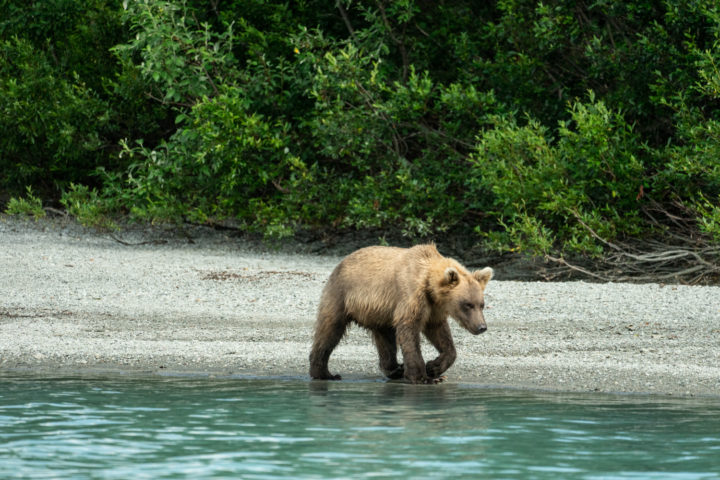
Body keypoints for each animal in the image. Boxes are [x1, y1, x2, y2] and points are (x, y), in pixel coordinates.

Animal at [309, 244, 493, 384]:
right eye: (467, 305)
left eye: (481, 304)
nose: (481, 327)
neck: (428, 283)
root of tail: (342, 261)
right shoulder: (411, 296)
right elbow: (409, 331)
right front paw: (424, 377)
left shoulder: (434, 308)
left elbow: (441, 334)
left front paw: (434, 367)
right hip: (341, 295)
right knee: (329, 330)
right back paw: (325, 373)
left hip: (379, 313)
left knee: (386, 341)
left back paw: (395, 369)